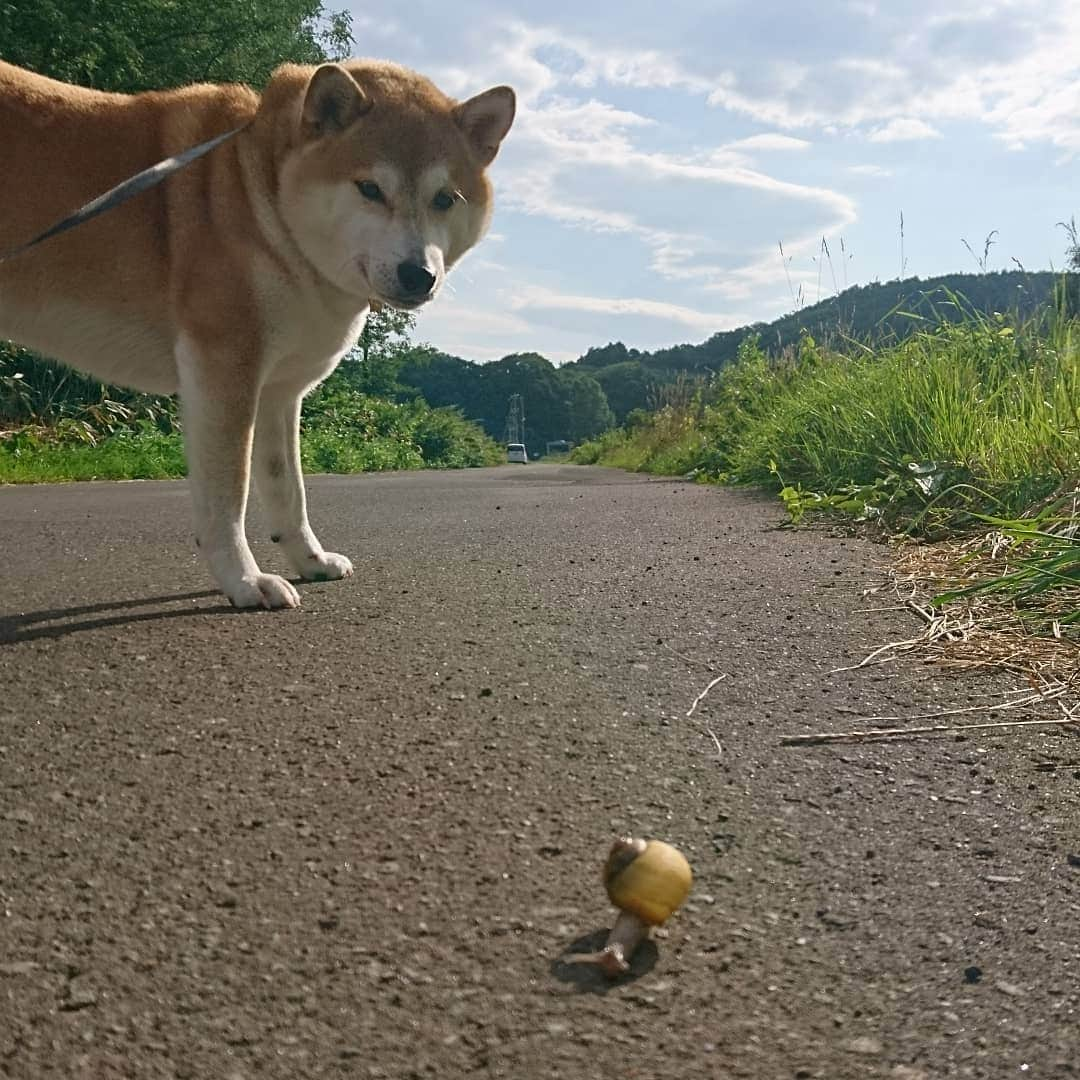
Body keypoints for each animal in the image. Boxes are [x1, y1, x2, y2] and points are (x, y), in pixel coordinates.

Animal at [0, 59, 514, 609]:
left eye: (445, 198)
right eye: (370, 189)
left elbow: (287, 487)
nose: (419, 274)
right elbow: (230, 492)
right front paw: (244, 581)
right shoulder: (223, 371)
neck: (263, 204)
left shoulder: (279, 391)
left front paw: (310, 560)